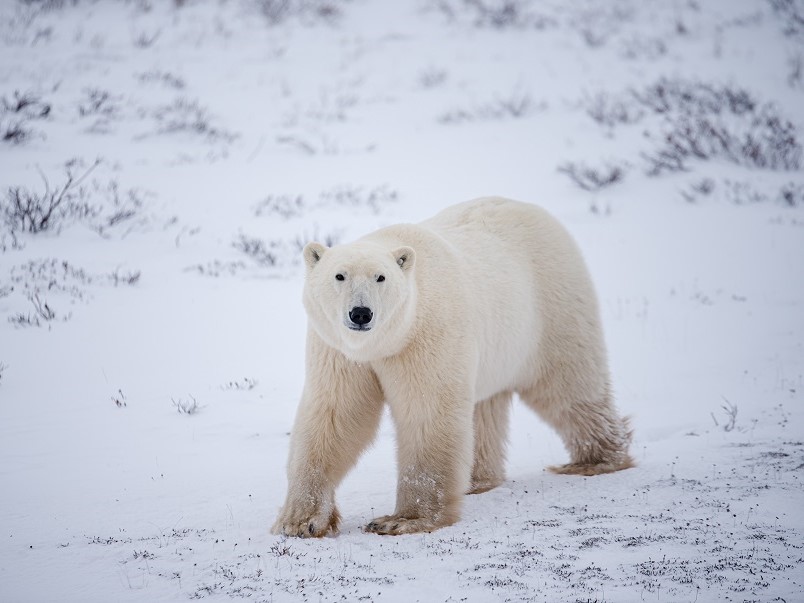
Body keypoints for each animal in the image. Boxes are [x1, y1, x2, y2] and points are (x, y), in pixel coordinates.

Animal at [274, 197, 632, 536]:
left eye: (381, 277)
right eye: (339, 275)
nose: (361, 313)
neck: (387, 342)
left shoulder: (427, 335)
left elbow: (427, 414)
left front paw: (402, 520)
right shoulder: (338, 351)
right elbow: (335, 415)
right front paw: (300, 521)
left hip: (551, 307)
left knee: (569, 384)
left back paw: (596, 460)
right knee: (484, 408)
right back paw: (477, 480)